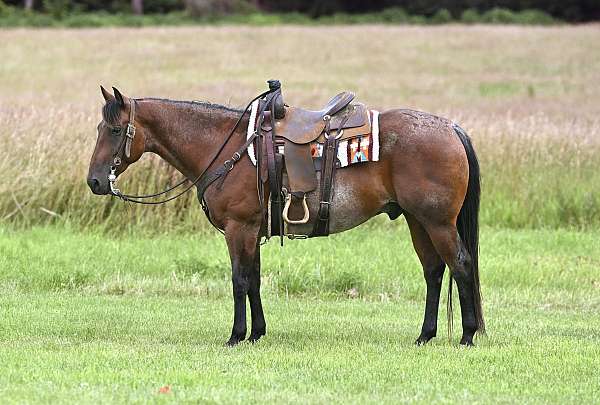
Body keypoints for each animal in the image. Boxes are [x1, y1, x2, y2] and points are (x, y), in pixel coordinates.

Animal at [86, 85, 486, 344]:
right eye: (100, 128)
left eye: (115, 129)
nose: (94, 180)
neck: (226, 148)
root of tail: (449, 127)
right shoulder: (252, 231)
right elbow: (254, 279)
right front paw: (257, 333)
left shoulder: (239, 228)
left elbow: (239, 280)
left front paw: (236, 336)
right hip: (417, 220)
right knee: (434, 271)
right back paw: (425, 335)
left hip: (437, 222)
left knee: (461, 264)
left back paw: (467, 335)